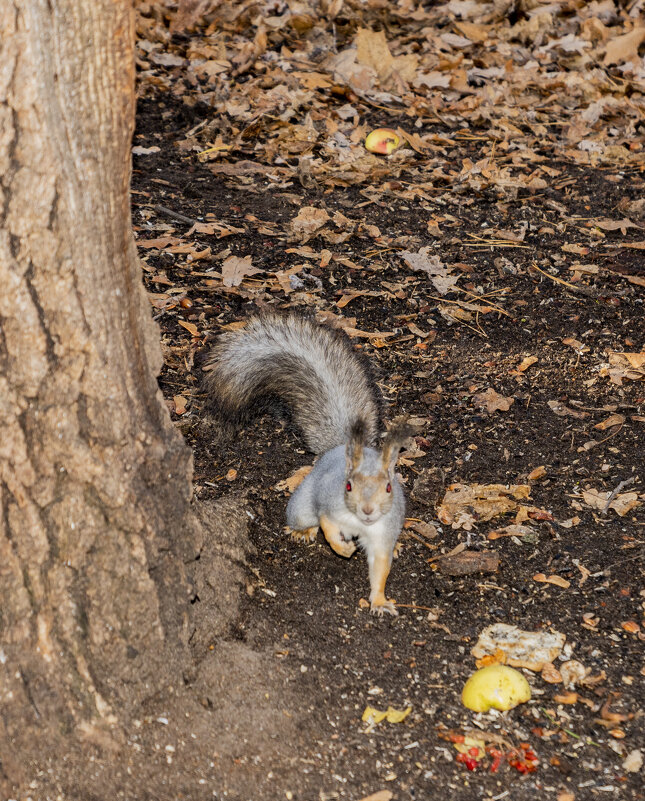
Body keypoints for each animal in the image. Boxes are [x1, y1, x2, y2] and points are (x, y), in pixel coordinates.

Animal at [204, 310, 408, 616]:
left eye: (388, 488)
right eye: (348, 486)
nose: (368, 510)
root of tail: (339, 448)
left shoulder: (382, 533)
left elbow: (380, 568)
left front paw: (380, 600)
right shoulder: (330, 505)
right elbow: (328, 527)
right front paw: (342, 549)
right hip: (302, 503)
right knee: (304, 515)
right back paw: (303, 531)